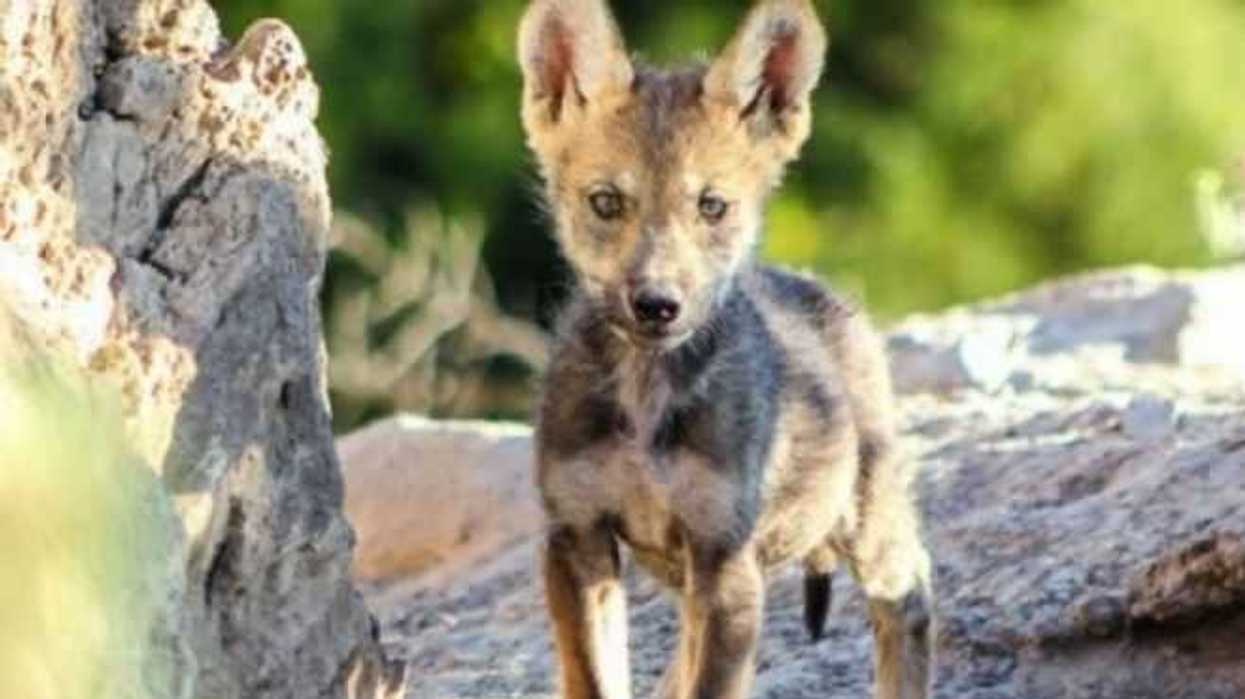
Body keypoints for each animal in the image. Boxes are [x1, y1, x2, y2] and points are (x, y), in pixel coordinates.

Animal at [517, 1, 935, 697]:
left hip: (863, 522)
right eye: (606, 202)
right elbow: (596, 680)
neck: (645, 408)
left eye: (712, 206)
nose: (657, 304)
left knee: (913, 594)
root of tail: (818, 292)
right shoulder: (577, 535)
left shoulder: (723, 553)